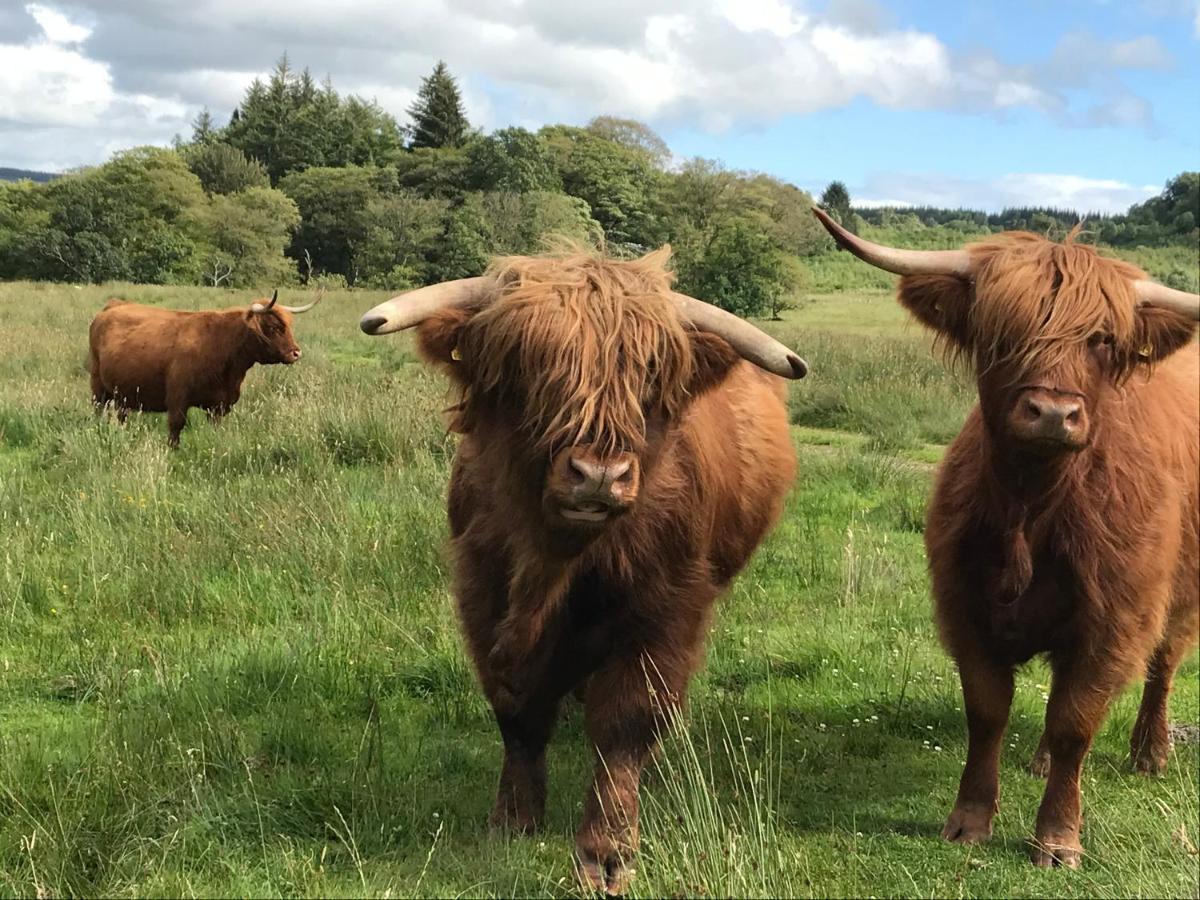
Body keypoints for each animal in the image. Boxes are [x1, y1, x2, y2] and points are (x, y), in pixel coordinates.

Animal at [88, 290, 321, 448]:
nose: (296, 353)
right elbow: (176, 428)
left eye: (289, 326)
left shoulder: (219, 405)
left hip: (123, 394)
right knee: (99, 410)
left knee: (122, 415)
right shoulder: (177, 398)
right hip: (98, 386)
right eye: (273, 327)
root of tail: (112, 306)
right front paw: (173, 451)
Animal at [355, 248, 806, 897]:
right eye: (532, 369)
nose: (598, 475)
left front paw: (607, 853)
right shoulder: (481, 593)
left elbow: (626, 723)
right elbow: (516, 710)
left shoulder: (667, 609)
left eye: (648, 377)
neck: (552, 565)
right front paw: (513, 820)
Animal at [811, 207, 1195, 868]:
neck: (1033, 509)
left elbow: (1076, 724)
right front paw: (969, 820)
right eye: (1003, 333)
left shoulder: (1114, 621)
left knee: (1163, 664)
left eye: (1101, 339)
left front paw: (1058, 839)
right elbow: (988, 714)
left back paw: (1150, 753)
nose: (1053, 414)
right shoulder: (966, 607)